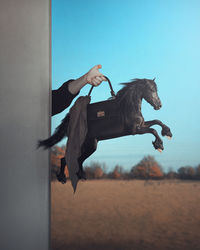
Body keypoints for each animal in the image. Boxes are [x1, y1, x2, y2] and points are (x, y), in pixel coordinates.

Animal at [38, 78, 173, 184]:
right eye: (152, 90)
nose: (159, 105)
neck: (127, 106)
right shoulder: (136, 130)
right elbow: (153, 129)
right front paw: (159, 145)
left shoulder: (142, 125)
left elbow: (157, 121)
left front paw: (167, 133)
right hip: (86, 145)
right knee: (66, 159)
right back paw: (62, 178)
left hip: (90, 146)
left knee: (77, 160)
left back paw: (81, 176)